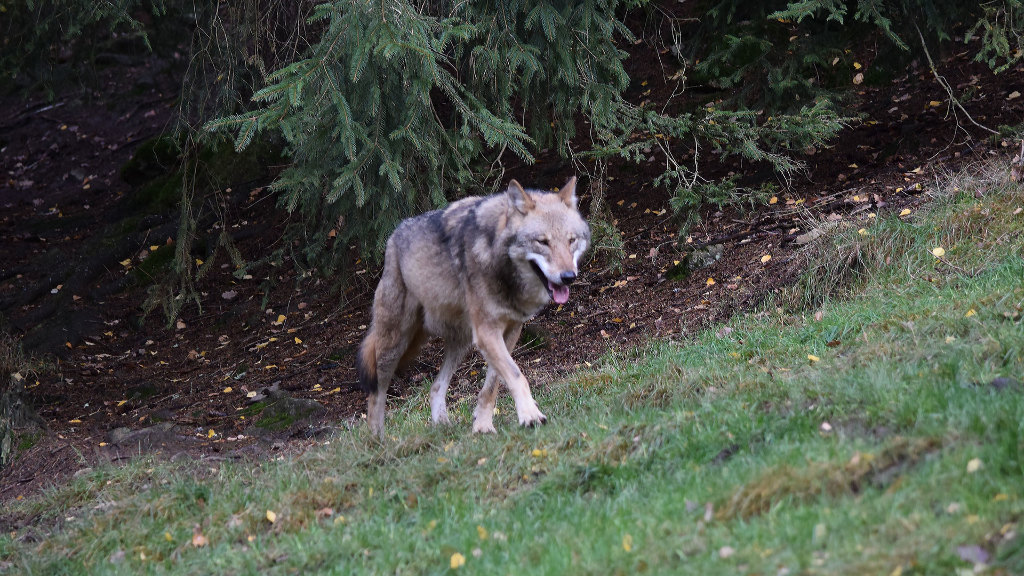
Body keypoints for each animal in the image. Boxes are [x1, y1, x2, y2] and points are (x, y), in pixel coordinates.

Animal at [356, 177, 590, 436]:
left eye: (571, 240)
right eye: (543, 242)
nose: (568, 277)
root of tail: (392, 237)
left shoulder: (511, 331)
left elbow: (493, 385)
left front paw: (482, 426)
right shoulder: (487, 332)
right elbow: (517, 376)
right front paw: (530, 416)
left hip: (462, 342)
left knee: (436, 386)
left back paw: (443, 427)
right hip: (394, 344)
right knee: (376, 393)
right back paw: (377, 440)